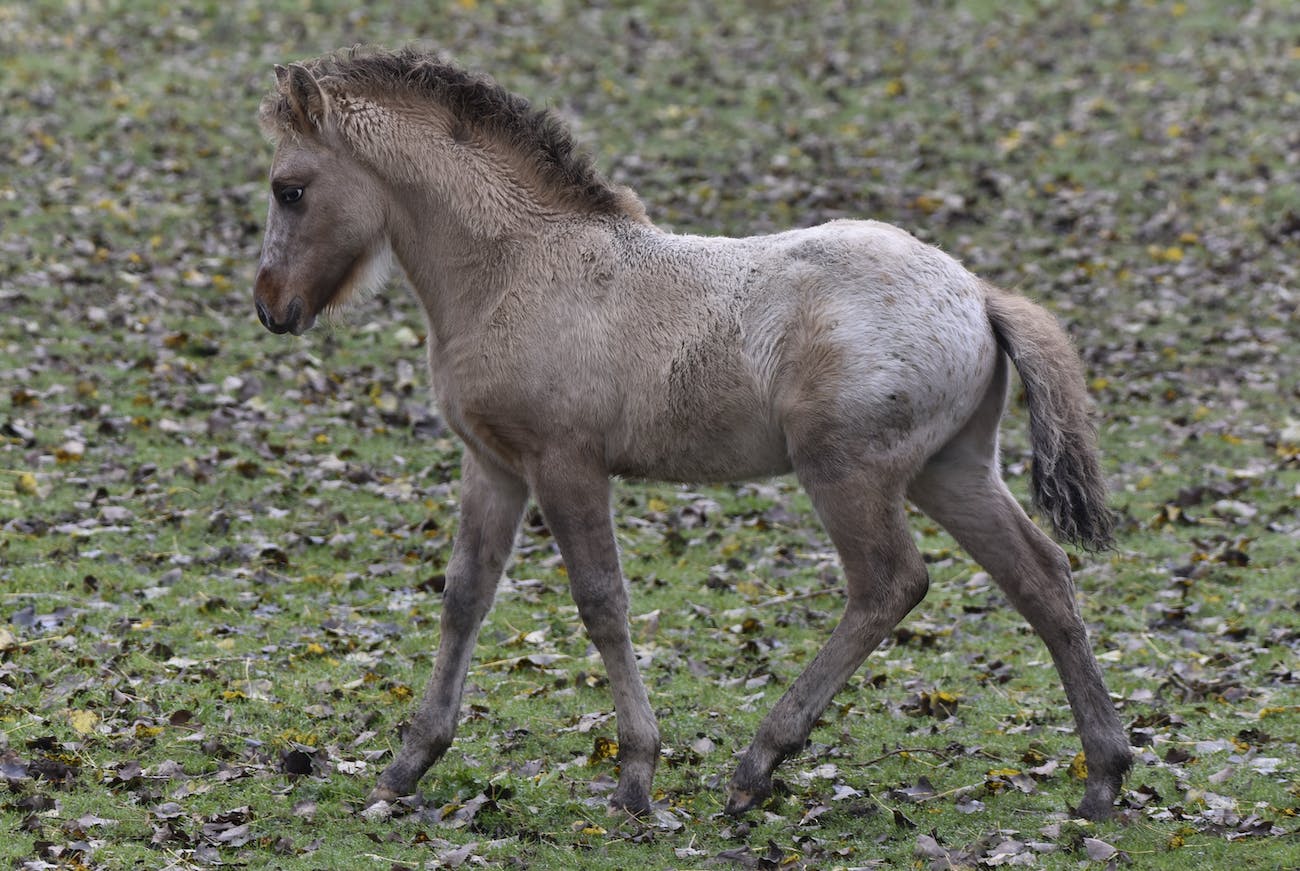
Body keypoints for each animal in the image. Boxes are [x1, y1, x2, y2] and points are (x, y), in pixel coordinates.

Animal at [250, 47, 1128, 821]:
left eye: (289, 189)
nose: (270, 306)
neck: (518, 267)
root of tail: (979, 293)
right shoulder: (493, 464)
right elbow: (465, 596)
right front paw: (407, 765)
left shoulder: (566, 462)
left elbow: (601, 600)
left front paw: (636, 775)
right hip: (951, 469)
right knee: (1041, 578)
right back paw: (1105, 776)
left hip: (847, 469)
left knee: (889, 583)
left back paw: (757, 766)